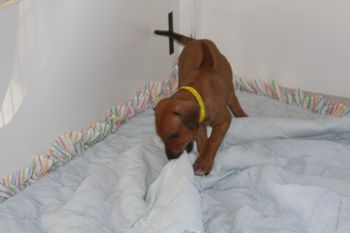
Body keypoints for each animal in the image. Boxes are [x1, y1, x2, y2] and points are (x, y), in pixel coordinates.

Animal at [153, 31, 246, 176]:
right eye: (160, 137)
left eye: (174, 135)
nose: (171, 158)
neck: (198, 94)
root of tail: (196, 40)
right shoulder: (199, 123)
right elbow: (202, 139)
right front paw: (202, 154)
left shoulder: (224, 120)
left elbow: (212, 141)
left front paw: (203, 162)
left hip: (229, 85)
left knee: (233, 100)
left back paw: (242, 114)